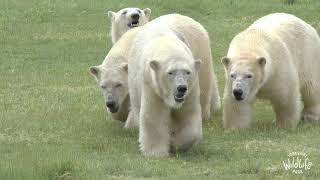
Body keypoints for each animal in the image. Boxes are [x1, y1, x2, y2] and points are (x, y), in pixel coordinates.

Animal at [127, 14, 220, 158]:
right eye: (170, 73)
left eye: (187, 72)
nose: (181, 88)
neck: (167, 45)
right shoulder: (151, 84)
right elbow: (154, 116)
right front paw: (155, 153)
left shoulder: (191, 89)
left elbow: (188, 114)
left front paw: (177, 143)